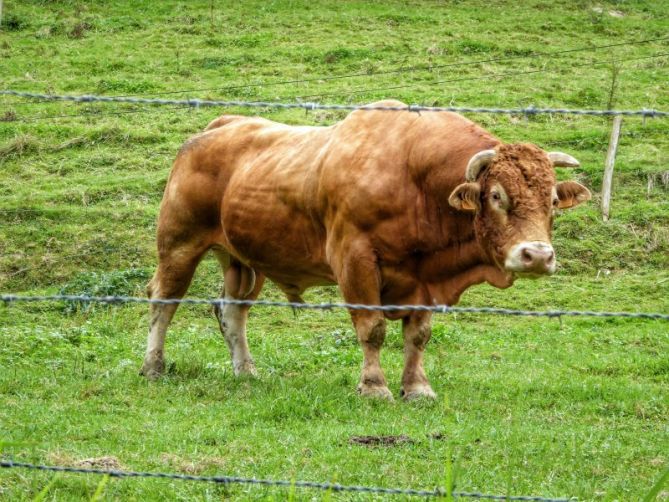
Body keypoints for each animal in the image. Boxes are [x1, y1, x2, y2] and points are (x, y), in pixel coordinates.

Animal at [138, 101, 588, 400]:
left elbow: (418, 335)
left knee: (232, 312)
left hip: (243, 261)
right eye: (496, 196)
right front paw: (374, 387)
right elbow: (372, 329)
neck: (413, 177)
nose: (537, 255)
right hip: (179, 244)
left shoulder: (424, 279)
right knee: (164, 301)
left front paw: (417, 388)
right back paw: (153, 366)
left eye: (551, 200)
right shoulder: (354, 262)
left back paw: (246, 371)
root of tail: (220, 125)